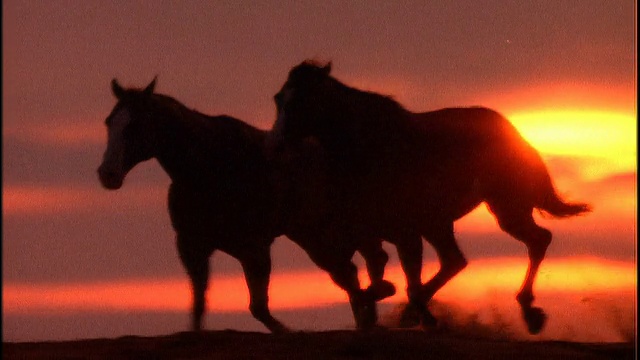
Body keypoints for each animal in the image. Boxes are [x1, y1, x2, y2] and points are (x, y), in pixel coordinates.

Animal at [95, 77, 398, 334]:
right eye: (109, 122)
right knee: (349, 274)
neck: (211, 169)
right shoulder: (193, 247)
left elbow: (259, 307)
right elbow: (199, 308)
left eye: (133, 125)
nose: (107, 174)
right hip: (316, 238)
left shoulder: (255, 248)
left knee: (369, 264)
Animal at [268, 59, 592, 334]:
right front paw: (402, 312)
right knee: (457, 260)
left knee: (535, 241)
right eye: (278, 99)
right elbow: (375, 276)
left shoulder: (405, 232)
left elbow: (402, 281)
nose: (277, 145)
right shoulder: (372, 233)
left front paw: (409, 313)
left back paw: (529, 311)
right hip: (444, 222)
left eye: (302, 100)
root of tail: (513, 131)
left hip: (504, 208)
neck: (369, 151)